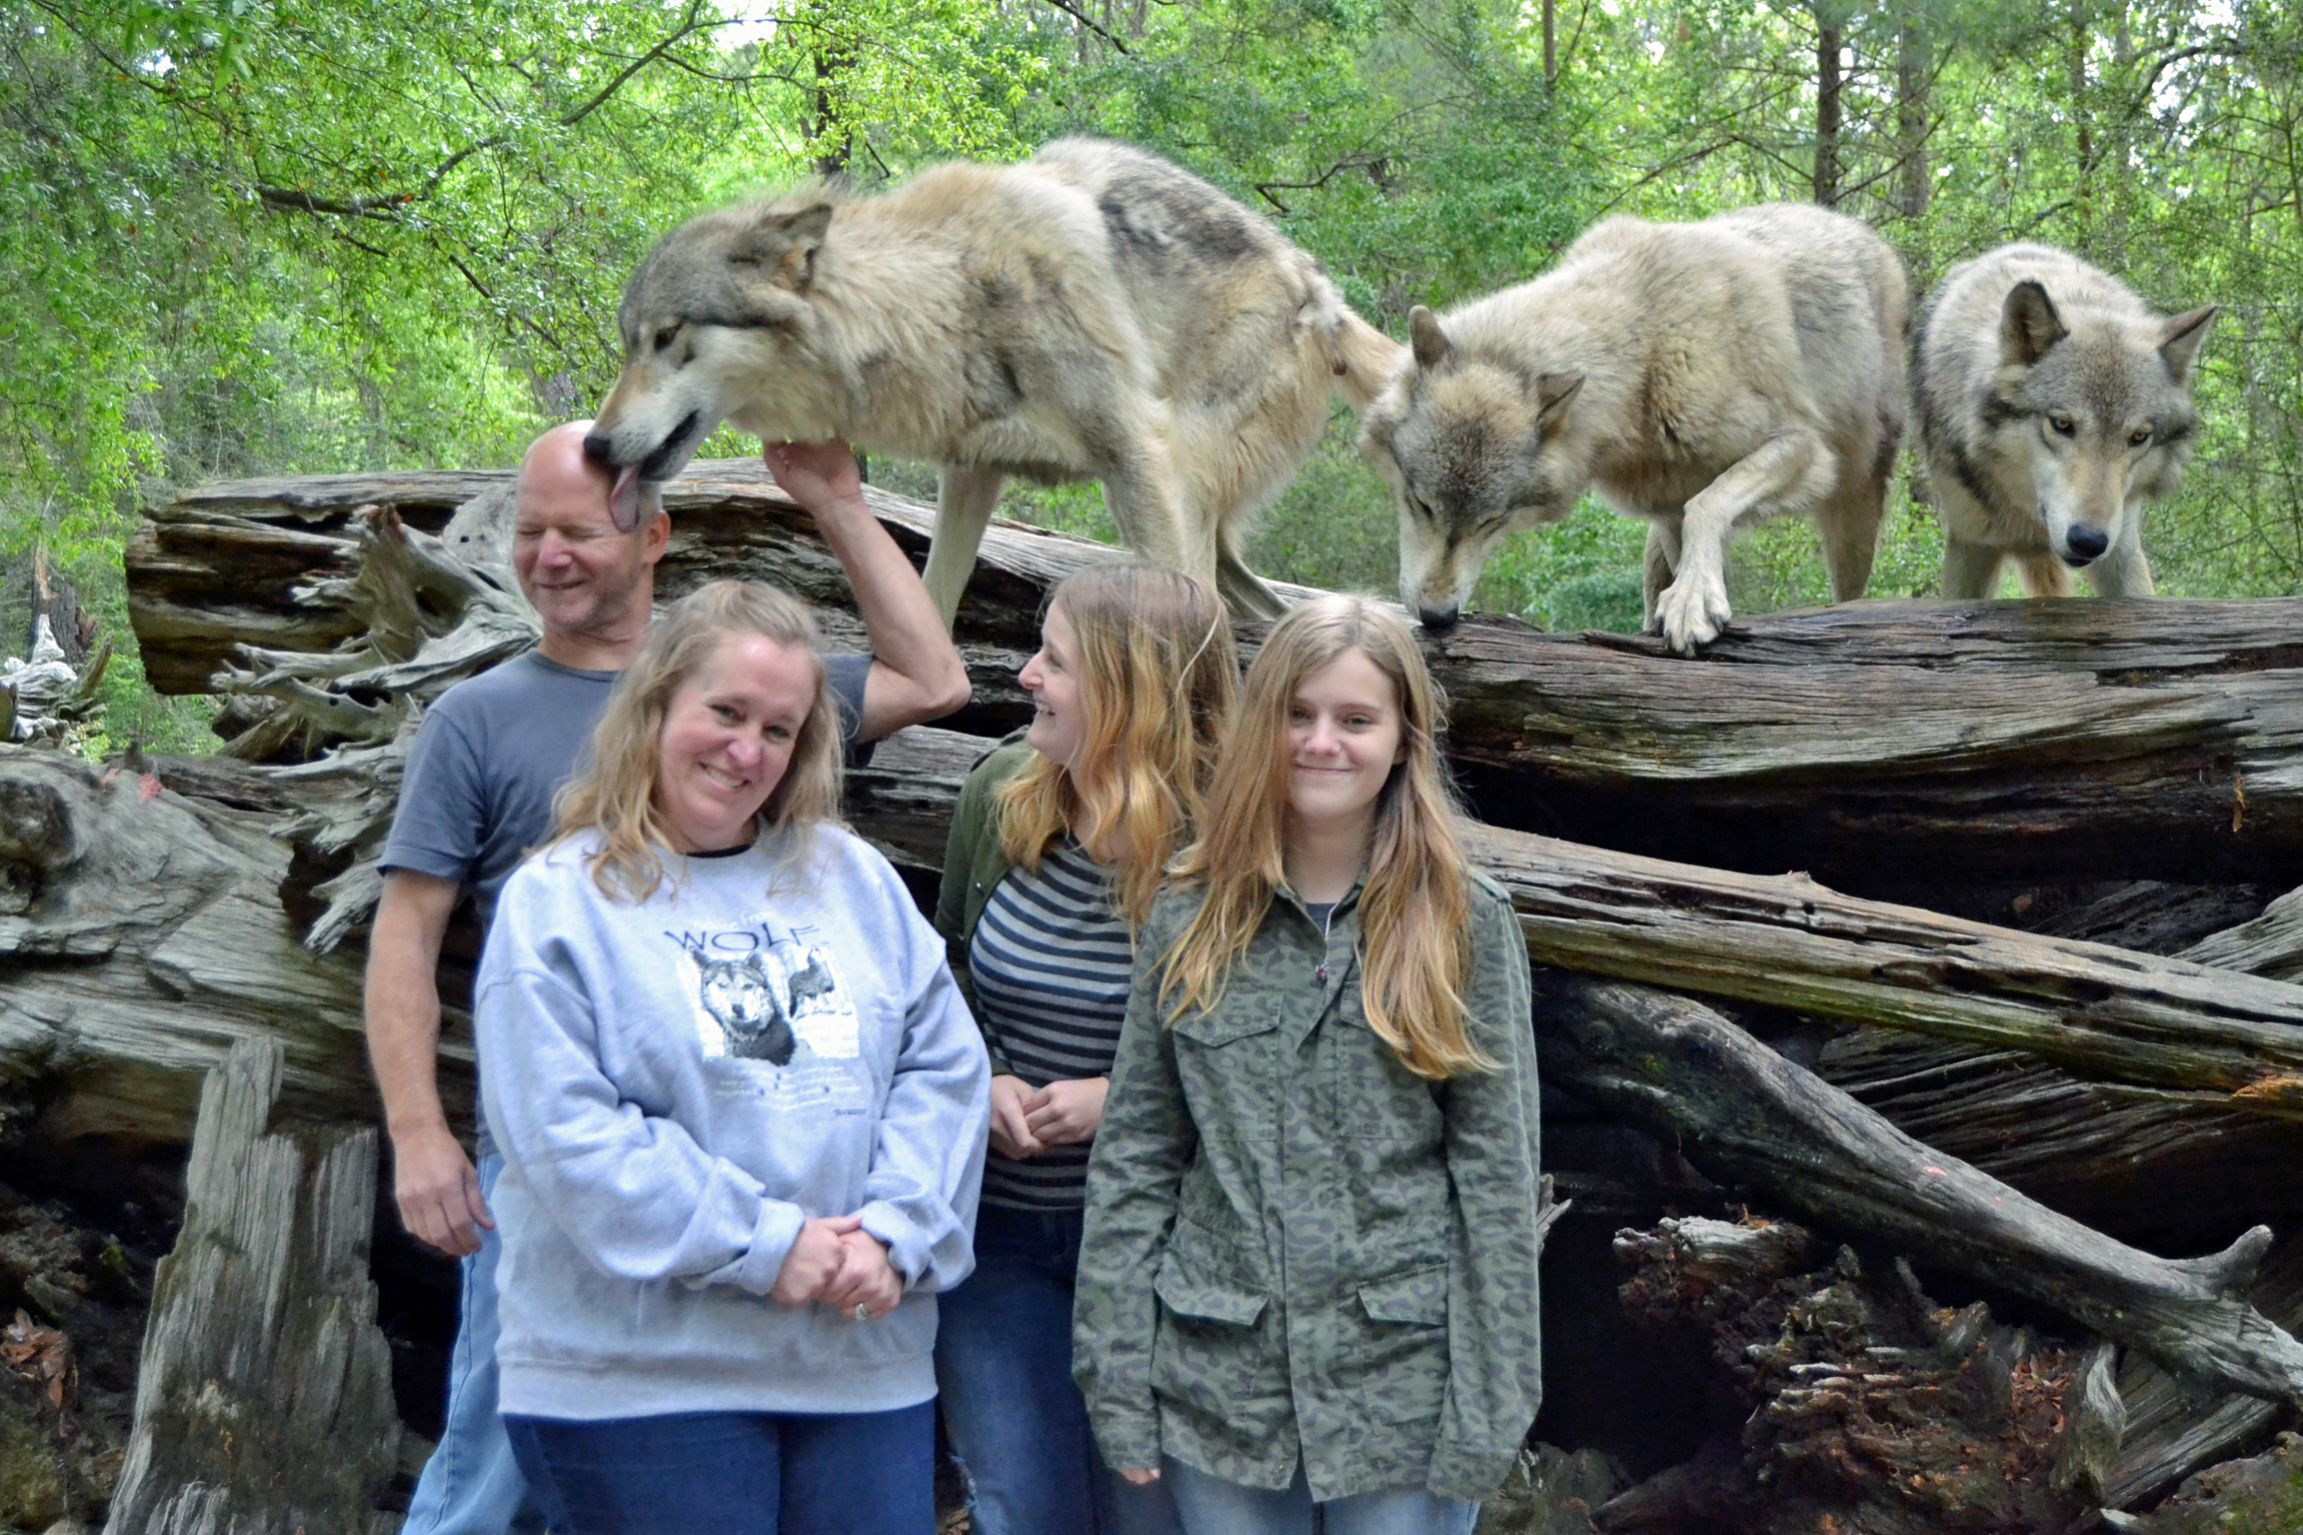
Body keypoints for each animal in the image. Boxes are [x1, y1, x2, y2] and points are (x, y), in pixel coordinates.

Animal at [584, 138, 1391, 625]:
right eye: (628, 343)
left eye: (667, 336)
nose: (593, 447)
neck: (943, 296)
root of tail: (1319, 289)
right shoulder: (971, 470)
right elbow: (934, 606)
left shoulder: (1136, 459)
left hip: (1180, 485)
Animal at [1354, 205, 1916, 653]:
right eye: (1422, 505)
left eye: (1493, 521)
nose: (1437, 617)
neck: (1648, 350)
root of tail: (1859, 231)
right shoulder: (1665, 508)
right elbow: (1691, 532)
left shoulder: (1802, 449)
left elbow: (1708, 505)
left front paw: (1693, 603)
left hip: (1852, 513)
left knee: (1849, 594)